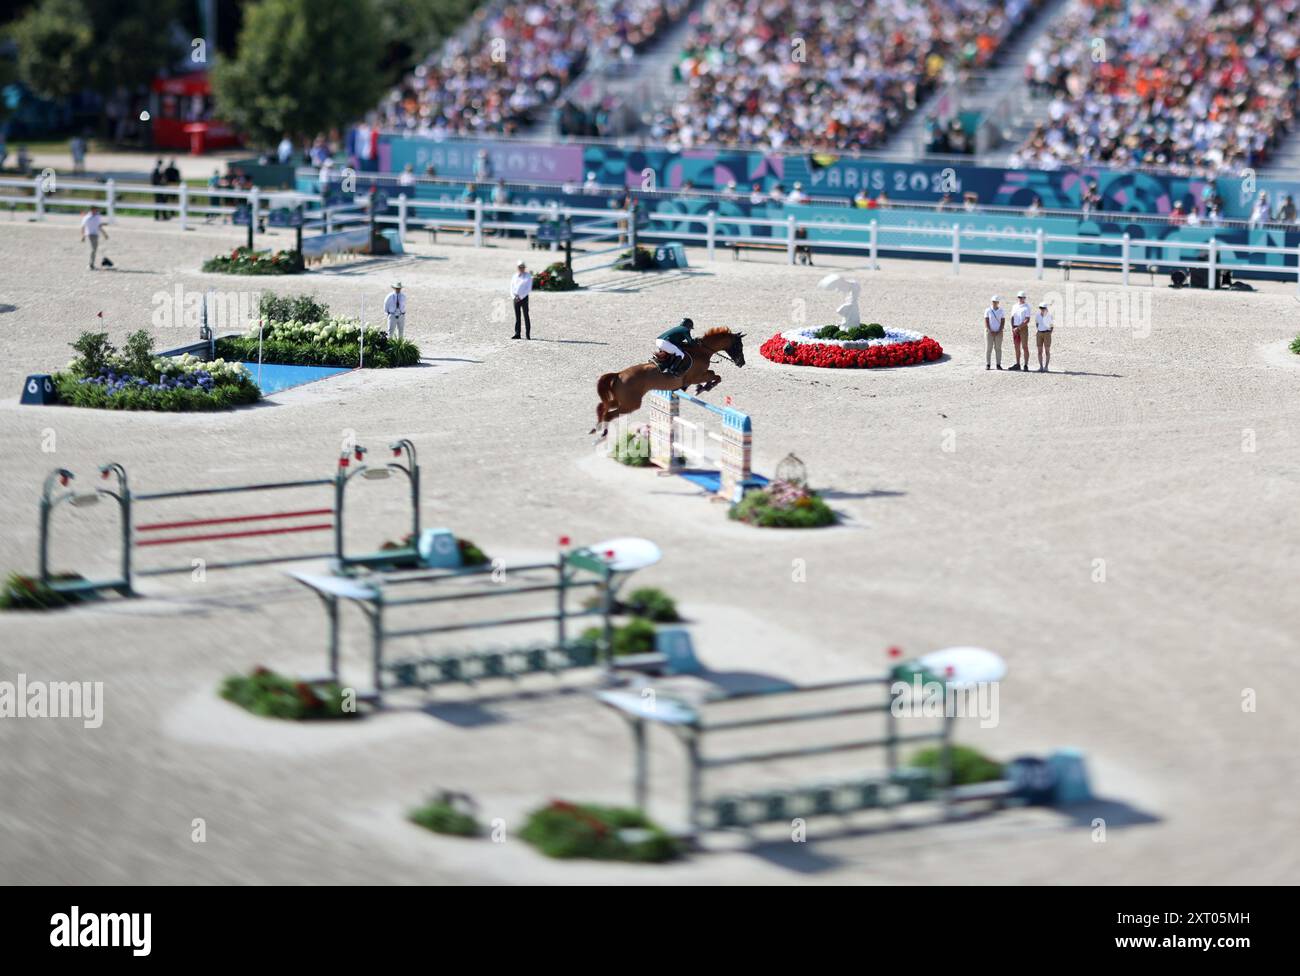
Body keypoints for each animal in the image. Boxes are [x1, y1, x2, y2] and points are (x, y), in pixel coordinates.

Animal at [592, 326, 748, 436]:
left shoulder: (698, 376)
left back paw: (596, 429)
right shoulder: (696, 376)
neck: (703, 350)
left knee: (603, 406)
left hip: (622, 400)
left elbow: (714, 375)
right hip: (631, 404)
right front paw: (703, 388)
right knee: (609, 414)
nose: (742, 363)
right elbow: (716, 376)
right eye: (739, 346)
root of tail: (618, 375)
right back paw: (602, 433)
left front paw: (702, 387)